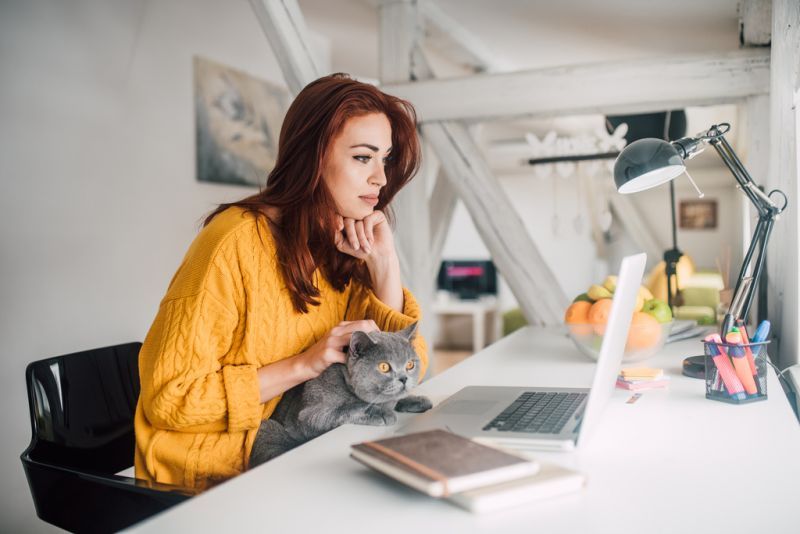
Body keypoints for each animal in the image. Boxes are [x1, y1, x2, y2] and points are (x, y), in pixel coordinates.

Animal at [250, 320, 432, 466]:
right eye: (384, 367)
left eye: (410, 365)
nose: (404, 378)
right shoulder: (309, 415)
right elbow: (347, 408)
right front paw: (380, 412)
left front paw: (417, 400)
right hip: (268, 428)